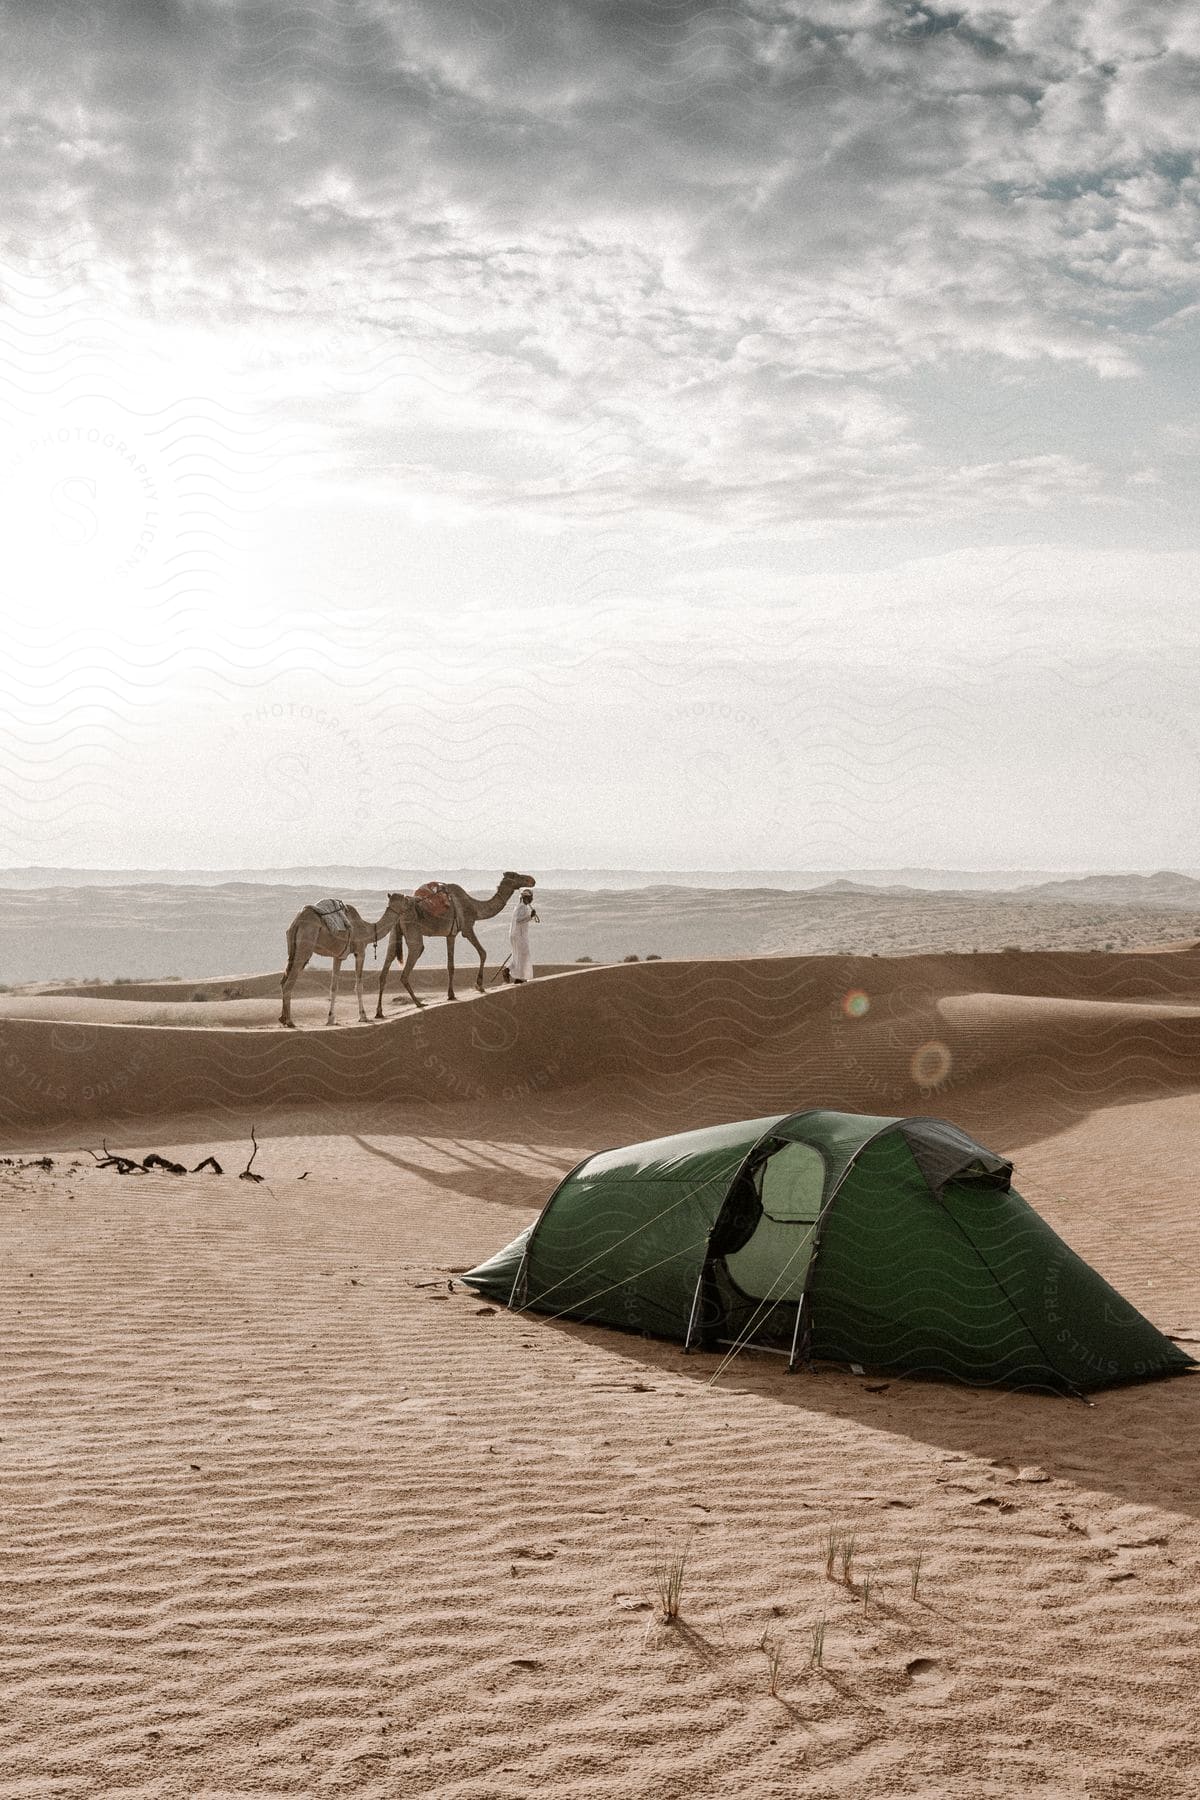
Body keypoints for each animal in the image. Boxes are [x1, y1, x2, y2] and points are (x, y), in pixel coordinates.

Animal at [278, 889, 410, 1029]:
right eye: (404, 899)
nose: (412, 901)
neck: (367, 929)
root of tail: (297, 922)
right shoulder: (360, 951)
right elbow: (359, 986)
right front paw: (363, 1016)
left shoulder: (338, 956)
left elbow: (334, 987)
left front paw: (331, 1019)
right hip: (305, 945)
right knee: (288, 982)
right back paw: (290, 1021)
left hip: (292, 948)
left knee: (283, 980)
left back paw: (282, 1018)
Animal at [372, 871, 536, 1015]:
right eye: (516, 875)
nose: (532, 880)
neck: (474, 907)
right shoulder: (467, 928)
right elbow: (483, 952)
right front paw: (479, 985)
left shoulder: (450, 934)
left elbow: (450, 966)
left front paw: (451, 995)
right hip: (412, 928)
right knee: (411, 960)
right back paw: (419, 1003)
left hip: (394, 931)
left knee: (387, 962)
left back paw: (379, 1012)